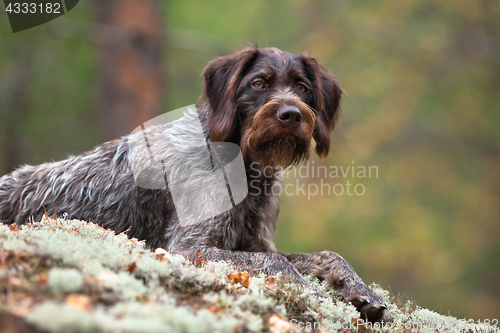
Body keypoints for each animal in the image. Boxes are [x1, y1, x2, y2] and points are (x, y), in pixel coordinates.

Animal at [0, 45, 386, 320]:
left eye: (302, 87)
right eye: (258, 83)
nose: (290, 115)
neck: (247, 170)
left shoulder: (256, 242)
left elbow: (325, 255)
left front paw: (360, 289)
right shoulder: (187, 248)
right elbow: (278, 264)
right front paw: (314, 293)